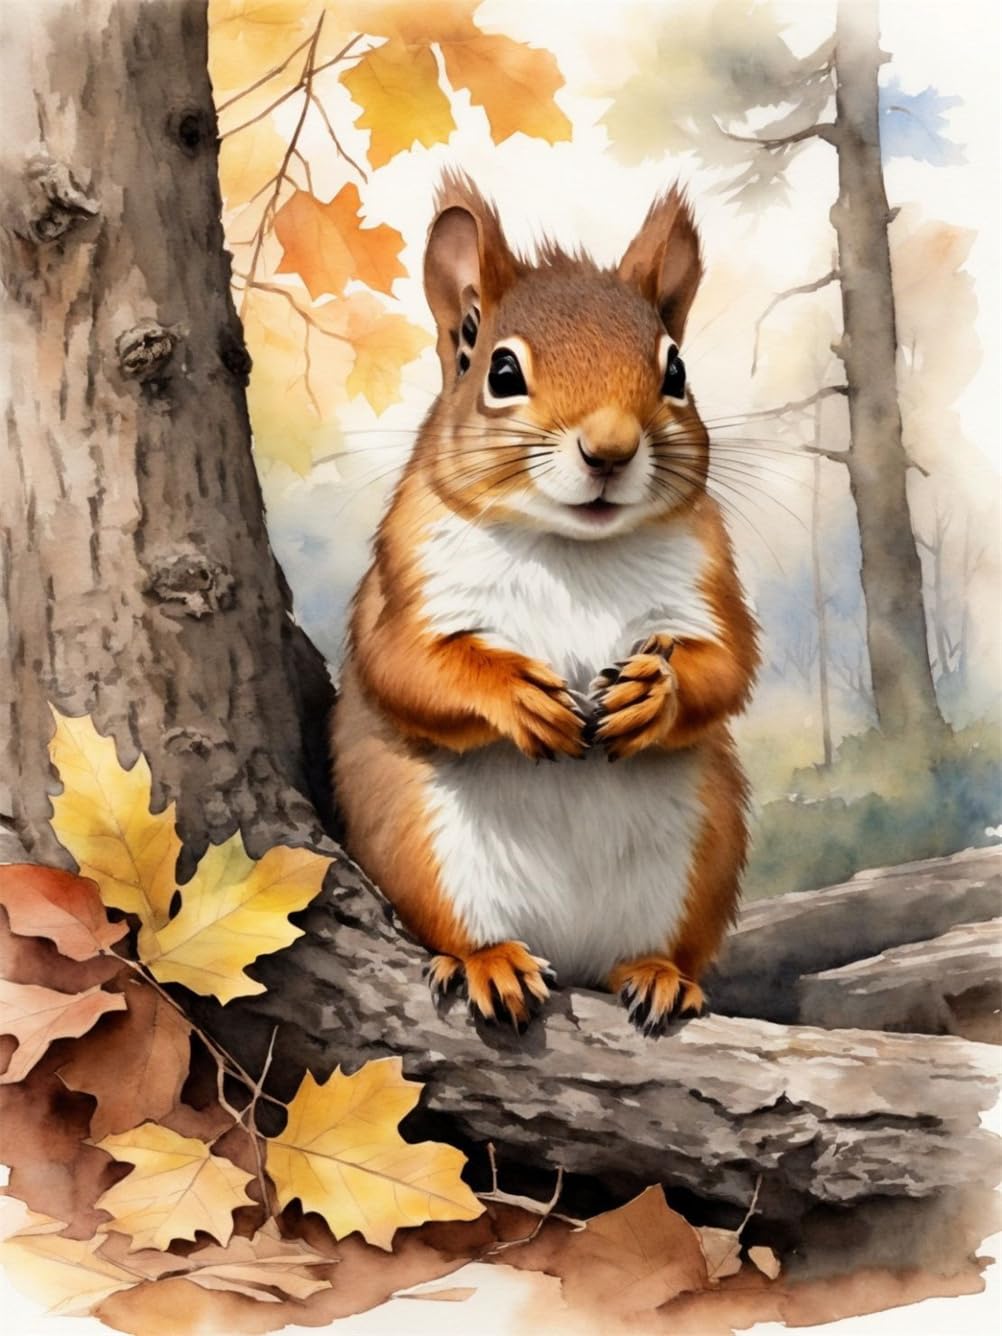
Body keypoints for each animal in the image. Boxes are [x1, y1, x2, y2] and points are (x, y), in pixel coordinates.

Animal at [332, 173, 759, 1037]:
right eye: (501, 372)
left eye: (675, 371)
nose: (610, 450)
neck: (574, 550)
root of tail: (573, 952)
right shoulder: (402, 581)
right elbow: (405, 666)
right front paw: (514, 692)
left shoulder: (710, 576)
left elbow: (729, 665)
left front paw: (654, 691)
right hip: (423, 844)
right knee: (462, 927)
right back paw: (488, 961)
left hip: (703, 855)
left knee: (659, 949)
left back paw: (658, 974)